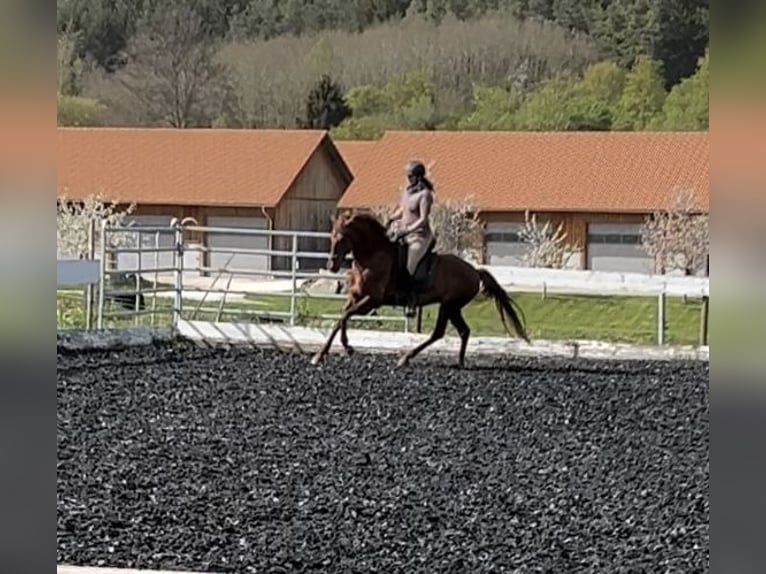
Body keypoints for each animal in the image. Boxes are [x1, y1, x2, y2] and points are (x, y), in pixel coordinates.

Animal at [308, 213, 532, 368]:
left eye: (341, 238)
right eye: (331, 237)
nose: (331, 266)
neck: (372, 257)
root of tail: (474, 271)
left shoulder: (372, 300)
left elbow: (343, 317)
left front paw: (323, 354)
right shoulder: (356, 296)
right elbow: (342, 317)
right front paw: (343, 347)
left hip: (448, 305)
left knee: (439, 333)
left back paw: (406, 358)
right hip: (453, 308)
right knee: (463, 331)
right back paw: (459, 361)